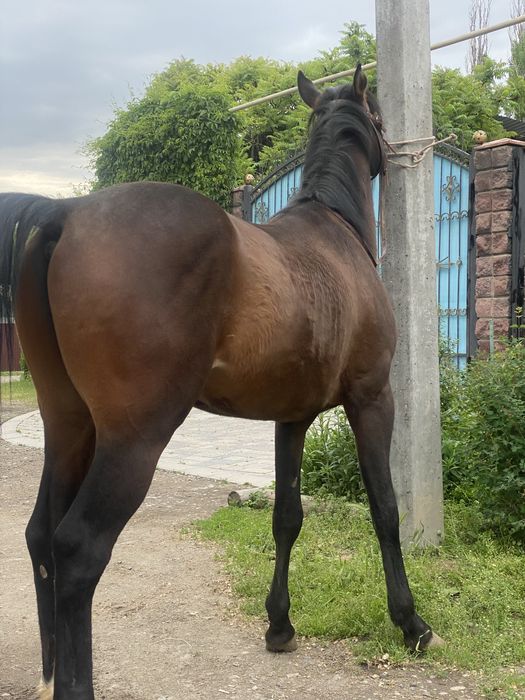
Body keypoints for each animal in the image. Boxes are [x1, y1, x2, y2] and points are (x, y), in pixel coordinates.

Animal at [0, 65, 442, 700]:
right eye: (380, 116)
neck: (333, 234)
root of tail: (67, 214)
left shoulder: (292, 417)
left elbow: (287, 517)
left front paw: (279, 626)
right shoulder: (373, 400)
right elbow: (385, 509)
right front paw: (411, 623)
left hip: (67, 425)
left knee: (40, 534)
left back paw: (50, 673)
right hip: (133, 440)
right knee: (78, 549)